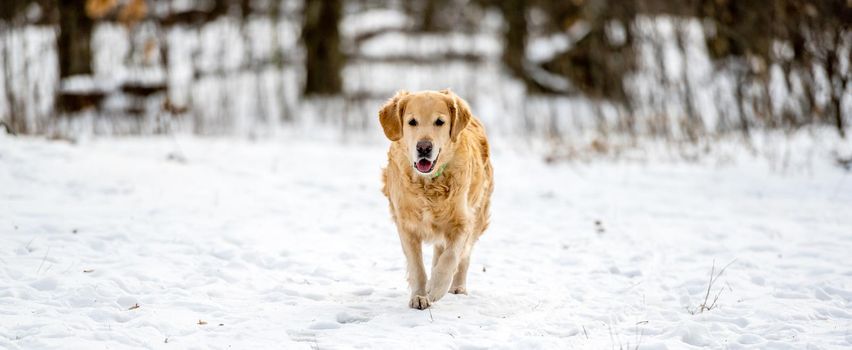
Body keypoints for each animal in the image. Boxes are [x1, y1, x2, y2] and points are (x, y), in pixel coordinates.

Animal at [380, 88, 492, 308]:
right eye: (412, 121)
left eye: (439, 122)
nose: (424, 147)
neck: (429, 184)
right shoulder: (406, 225)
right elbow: (417, 267)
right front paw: (419, 296)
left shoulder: (462, 221)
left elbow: (451, 257)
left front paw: (437, 288)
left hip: (479, 213)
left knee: (463, 256)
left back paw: (457, 287)